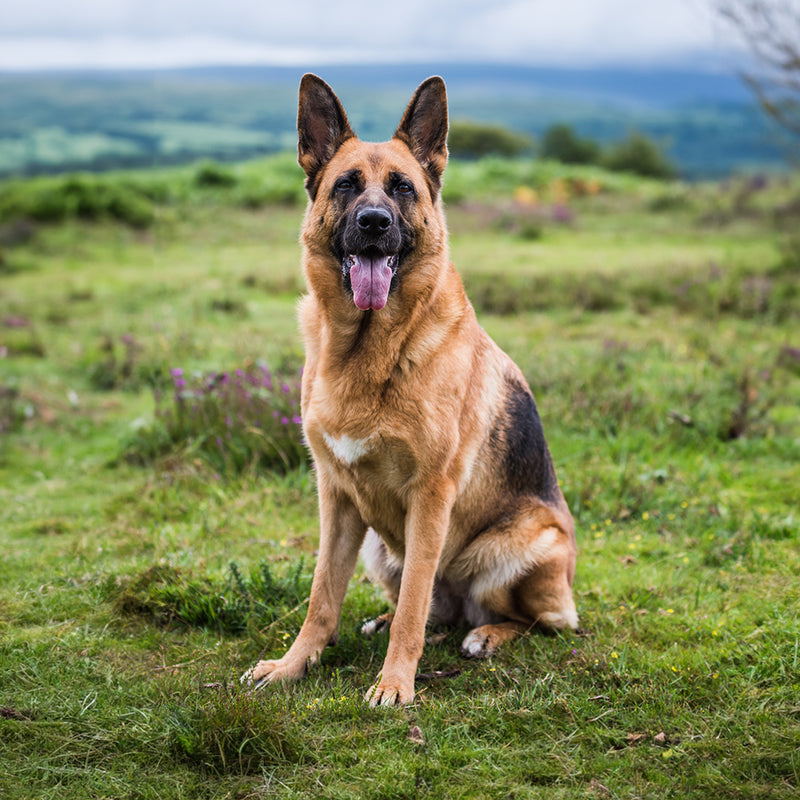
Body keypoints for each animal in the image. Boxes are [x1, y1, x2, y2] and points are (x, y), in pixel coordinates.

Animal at [247, 75, 580, 708]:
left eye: (402, 188)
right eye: (347, 185)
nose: (375, 223)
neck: (368, 351)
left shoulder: (431, 496)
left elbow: (412, 609)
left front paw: (395, 684)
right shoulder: (336, 496)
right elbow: (321, 597)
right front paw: (293, 665)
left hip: (522, 545)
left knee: (528, 620)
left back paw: (486, 636)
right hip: (379, 549)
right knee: (434, 610)